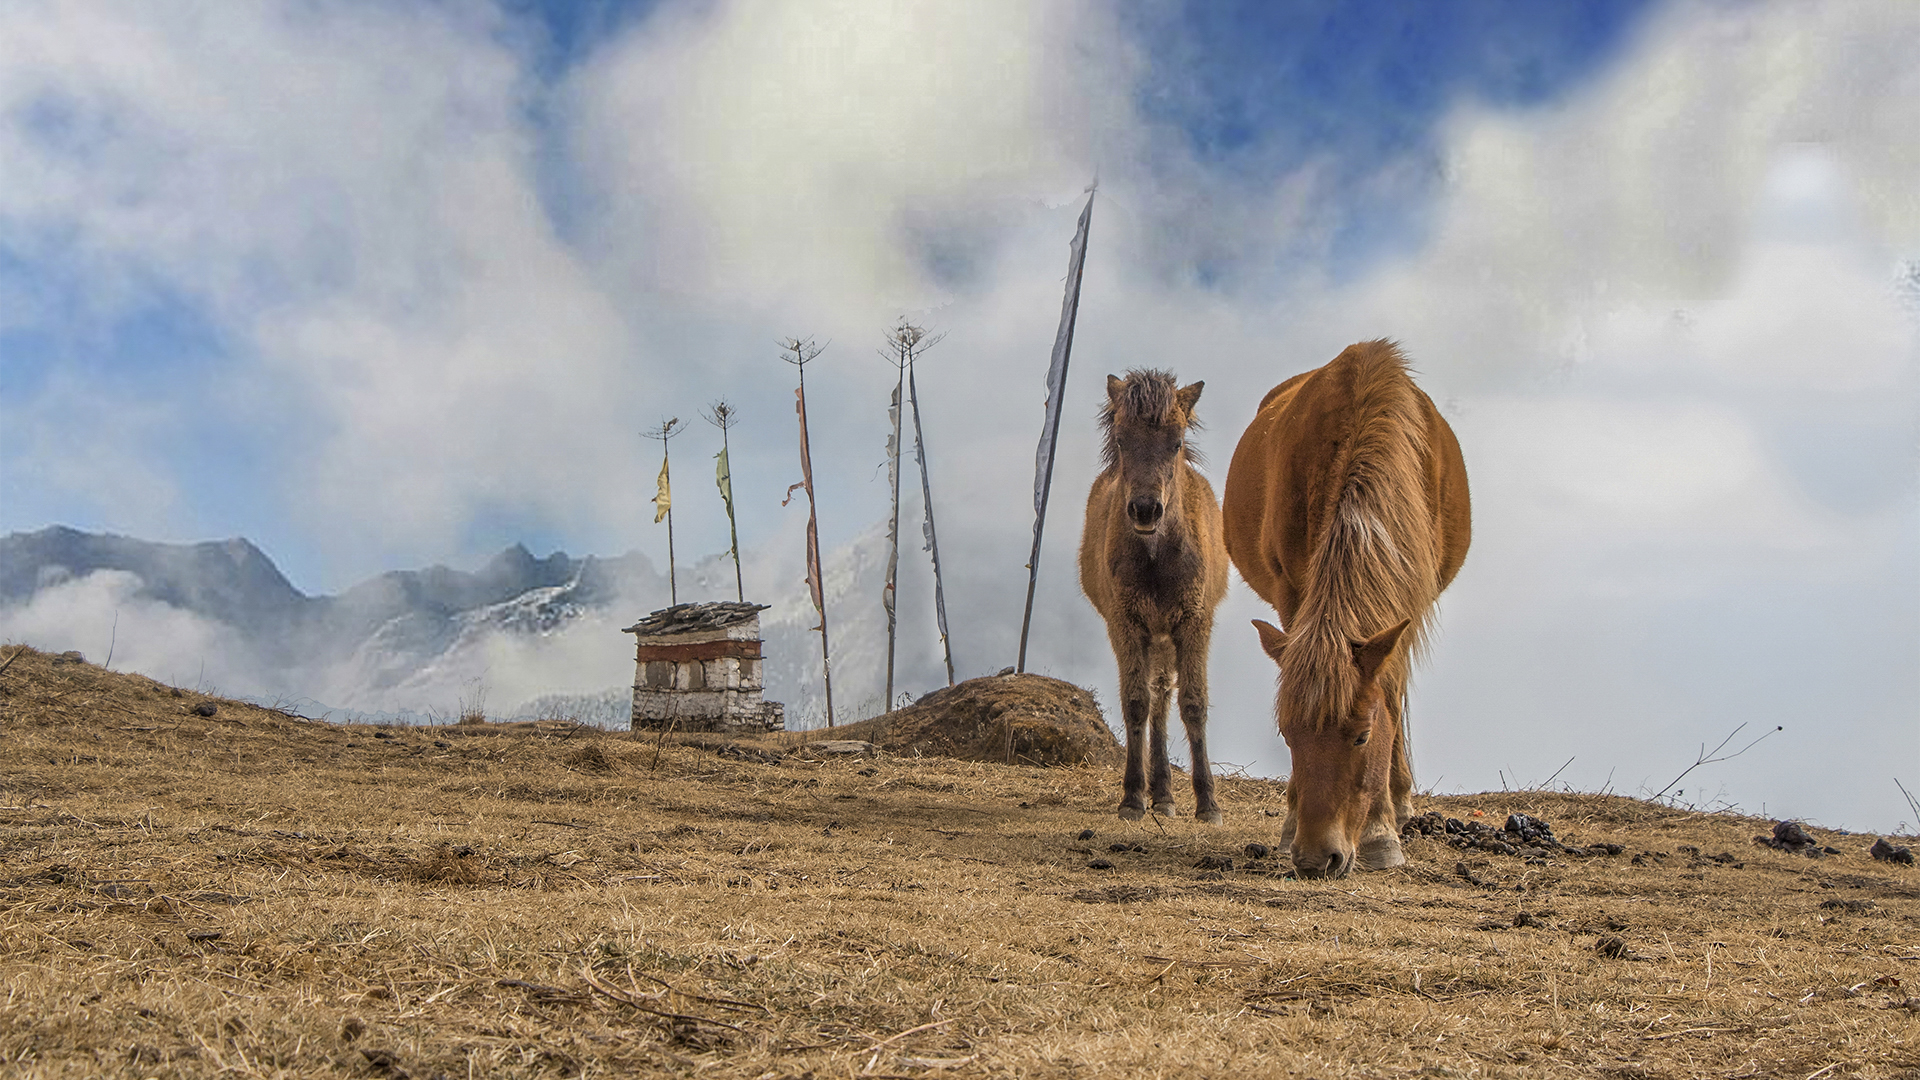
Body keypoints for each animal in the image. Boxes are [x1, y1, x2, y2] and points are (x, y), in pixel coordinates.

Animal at [1082, 372, 1228, 822]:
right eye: (1121, 439)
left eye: (1176, 441)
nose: (1145, 510)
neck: (1157, 557)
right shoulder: (1126, 624)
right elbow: (1135, 702)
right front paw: (1132, 797)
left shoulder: (1195, 623)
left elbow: (1194, 703)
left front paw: (1208, 803)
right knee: (1155, 697)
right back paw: (1158, 792)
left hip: (1166, 636)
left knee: (1164, 695)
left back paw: (1165, 794)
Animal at [1221, 340, 1474, 880]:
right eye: (1287, 735)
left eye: (1361, 737)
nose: (1317, 858)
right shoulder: (1292, 591)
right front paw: (1291, 821)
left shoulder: (1407, 604)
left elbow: (1391, 699)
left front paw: (1382, 830)